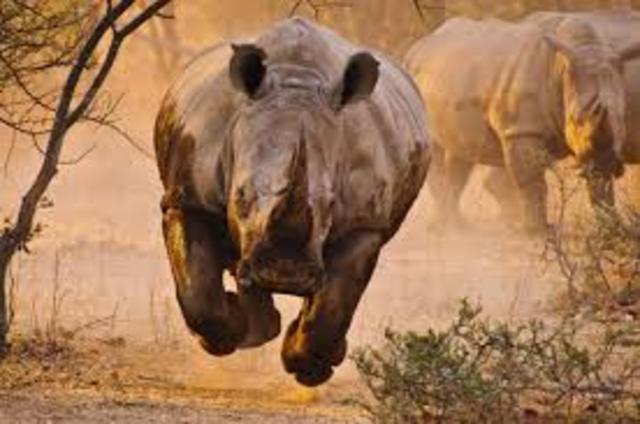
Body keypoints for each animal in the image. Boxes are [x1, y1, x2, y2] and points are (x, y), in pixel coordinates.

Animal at [154, 18, 430, 386]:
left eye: (331, 205)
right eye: (240, 196)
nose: (284, 273)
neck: (297, 81)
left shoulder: (364, 224)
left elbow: (334, 305)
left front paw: (308, 368)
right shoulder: (187, 197)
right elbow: (197, 293)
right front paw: (227, 335)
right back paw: (258, 328)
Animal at [404, 14, 640, 232]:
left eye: (622, 118)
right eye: (575, 119)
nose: (607, 161)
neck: (561, 69)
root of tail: (417, 45)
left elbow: (600, 183)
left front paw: (612, 227)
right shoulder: (521, 129)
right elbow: (532, 181)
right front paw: (537, 232)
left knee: (462, 152)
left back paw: (457, 223)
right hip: (416, 78)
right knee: (436, 151)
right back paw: (450, 226)